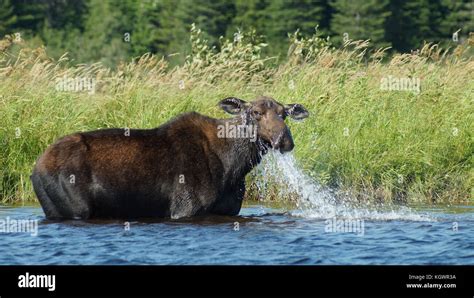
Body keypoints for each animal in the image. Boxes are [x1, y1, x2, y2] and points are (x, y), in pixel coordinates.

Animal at [31, 96, 310, 220]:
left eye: (284, 113)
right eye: (255, 112)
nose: (284, 140)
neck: (235, 166)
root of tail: (34, 169)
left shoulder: (228, 210)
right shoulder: (185, 209)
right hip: (76, 209)